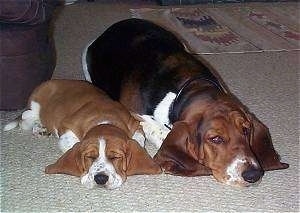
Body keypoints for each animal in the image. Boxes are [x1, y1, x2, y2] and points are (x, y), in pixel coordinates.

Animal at [3, 79, 162, 188]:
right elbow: (73, 145)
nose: (100, 179)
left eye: (115, 157)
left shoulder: (135, 125)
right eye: (90, 157)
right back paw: (39, 128)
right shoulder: (67, 130)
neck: (105, 120)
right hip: (32, 111)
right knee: (25, 120)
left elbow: (139, 140)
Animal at [82, 19, 288, 187]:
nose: (253, 175)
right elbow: (161, 132)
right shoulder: (134, 115)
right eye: (215, 139)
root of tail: (109, 30)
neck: (190, 86)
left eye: (246, 130)